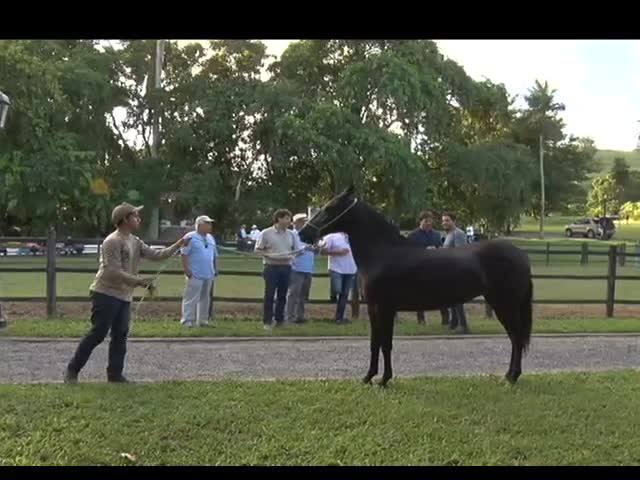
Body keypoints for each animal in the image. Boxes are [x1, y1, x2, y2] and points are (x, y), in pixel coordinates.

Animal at [300, 186, 536, 388]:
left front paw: (384, 380)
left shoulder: (385, 308)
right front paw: (368, 377)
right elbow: (375, 343)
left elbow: (385, 343)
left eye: (330, 208)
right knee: (516, 338)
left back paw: (511, 377)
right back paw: (510, 376)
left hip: (505, 305)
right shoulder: (375, 308)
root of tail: (521, 255)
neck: (383, 252)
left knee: (516, 337)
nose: (303, 233)